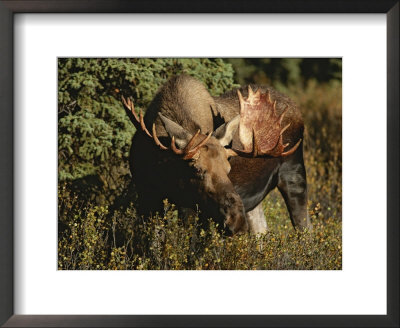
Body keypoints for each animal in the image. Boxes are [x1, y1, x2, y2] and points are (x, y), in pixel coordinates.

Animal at [122, 75, 312, 233]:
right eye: (196, 170)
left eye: (228, 168)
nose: (236, 220)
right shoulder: (147, 195)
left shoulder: (195, 209)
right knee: (261, 230)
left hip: (294, 172)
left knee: (305, 228)